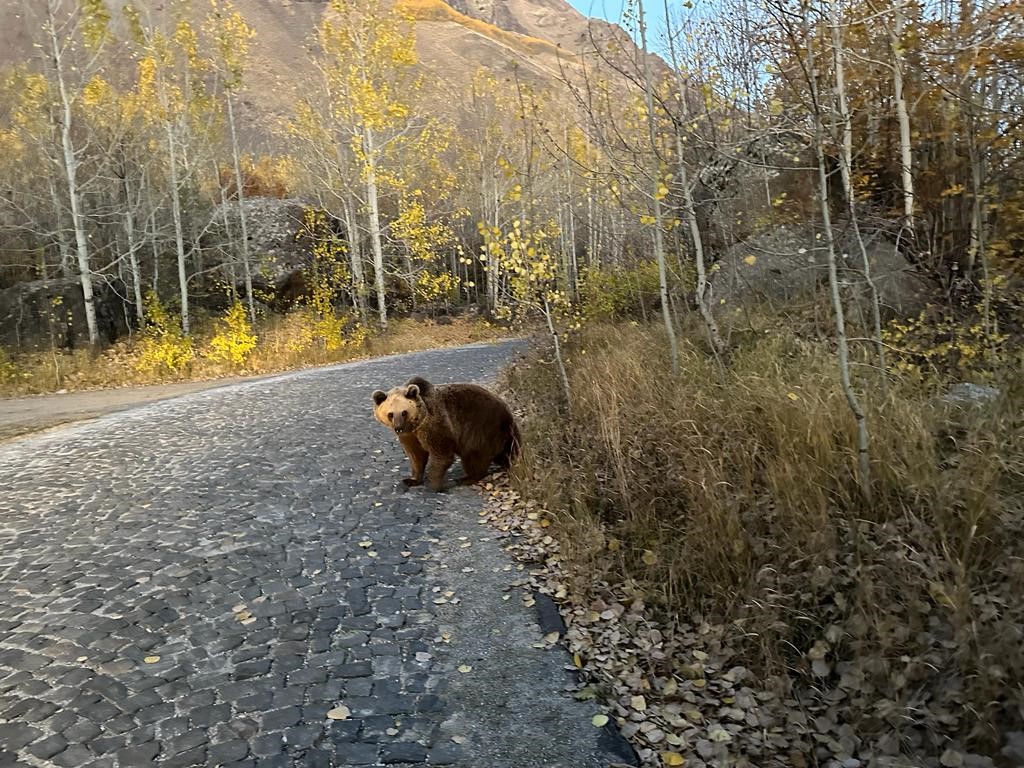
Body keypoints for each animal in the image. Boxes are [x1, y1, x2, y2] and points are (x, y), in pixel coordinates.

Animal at [372, 378, 524, 493]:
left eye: (404, 412)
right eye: (390, 414)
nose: (398, 428)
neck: (416, 424)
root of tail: (508, 414)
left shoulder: (434, 424)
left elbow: (441, 453)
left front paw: (434, 484)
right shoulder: (410, 436)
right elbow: (416, 456)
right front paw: (411, 479)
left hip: (482, 427)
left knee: (473, 454)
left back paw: (466, 478)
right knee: (505, 452)